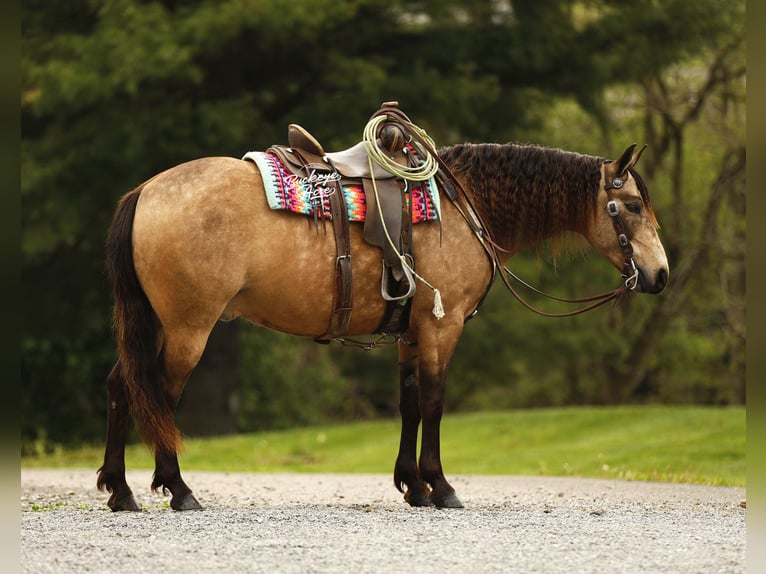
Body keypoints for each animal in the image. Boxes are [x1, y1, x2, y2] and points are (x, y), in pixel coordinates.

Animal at [97, 135, 669, 511]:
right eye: (631, 205)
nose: (660, 274)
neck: (463, 205)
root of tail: (146, 190)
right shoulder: (443, 327)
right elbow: (435, 403)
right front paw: (441, 487)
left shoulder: (412, 334)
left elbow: (410, 404)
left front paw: (413, 486)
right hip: (188, 327)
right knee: (158, 393)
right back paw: (179, 490)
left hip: (158, 324)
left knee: (121, 386)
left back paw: (120, 489)